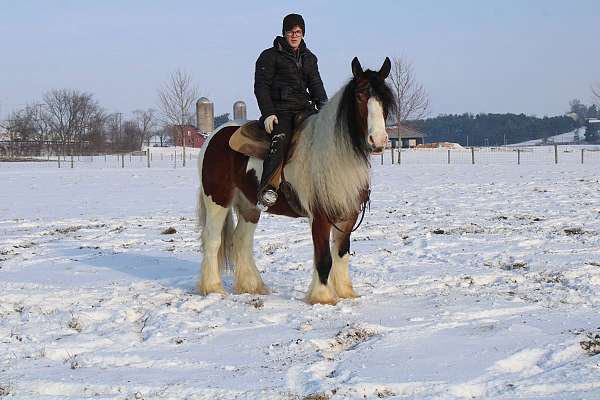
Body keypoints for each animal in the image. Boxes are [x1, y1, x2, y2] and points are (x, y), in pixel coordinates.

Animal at [195, 57, 396, 304]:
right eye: (359, 96)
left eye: (385, 98)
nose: (378, 140)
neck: (333, 153)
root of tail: (213, 137)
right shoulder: (320, 216)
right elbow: (324, 258)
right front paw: (323, 297)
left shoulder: (348, 215)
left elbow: (341, 254)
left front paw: (346, 293)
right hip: (217, 200)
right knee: (212, 240)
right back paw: (213, 288)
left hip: (250, 205)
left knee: (241, 240)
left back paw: (252, 286)